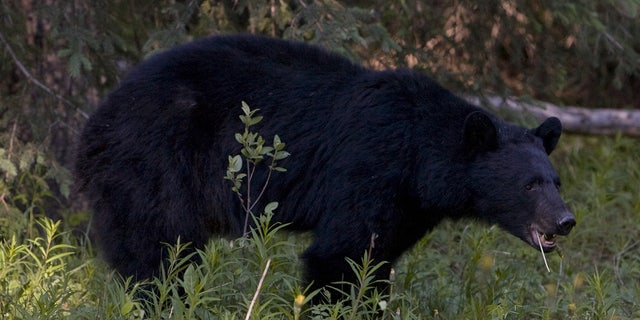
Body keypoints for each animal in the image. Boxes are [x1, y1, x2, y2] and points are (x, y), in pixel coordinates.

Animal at [75, 34, 576, 296]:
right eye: (530, 185)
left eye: (555, 181)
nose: (566, 220)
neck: (419, 158)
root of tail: (95, 122)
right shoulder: (370, 168)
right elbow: (340, 254)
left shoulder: (408, 206)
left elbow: (378, 257)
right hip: (154, 161)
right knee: (159, 247)